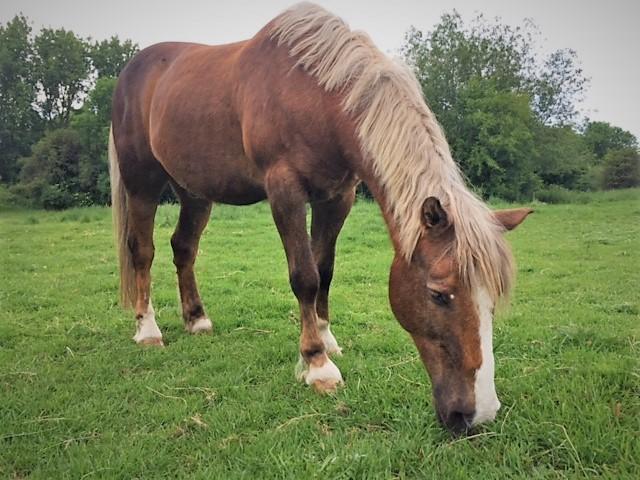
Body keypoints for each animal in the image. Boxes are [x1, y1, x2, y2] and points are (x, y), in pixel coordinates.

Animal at [108, 2, 532, 433]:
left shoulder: (338, 197)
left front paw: (328, 340)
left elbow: (324, 270)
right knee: (142, 251)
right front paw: (317, 364)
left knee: (184, 248)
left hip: (195, 192)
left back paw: (196, 319)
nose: (478, 413)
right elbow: (305, 277)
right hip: (142, 181)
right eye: (438, 294)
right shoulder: (285, 191)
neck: (317, 95)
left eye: (493, 299)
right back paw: (148, 330)